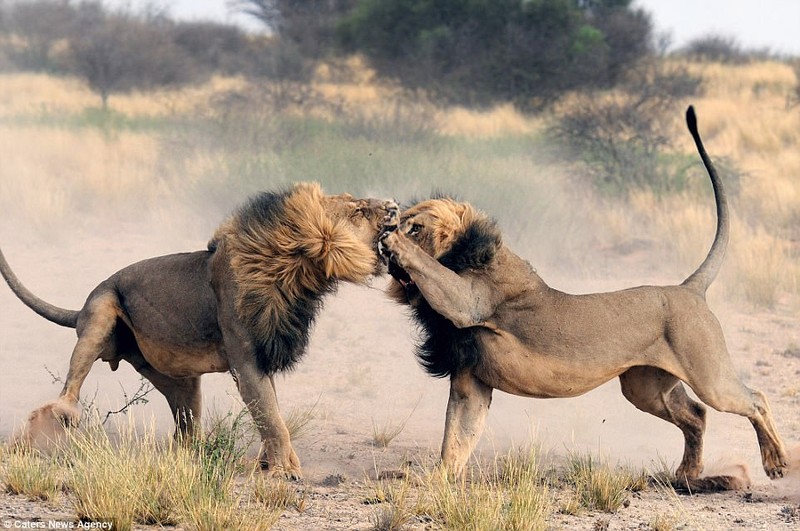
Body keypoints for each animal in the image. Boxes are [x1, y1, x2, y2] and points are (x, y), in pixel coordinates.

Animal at [2, 182, 396, 478]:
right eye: (359, 211)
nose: (393, 206)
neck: (292, 271)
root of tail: (81, 307)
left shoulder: (262, 358)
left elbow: (272, 413)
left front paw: (278, 465)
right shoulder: (245, 362)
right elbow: (271, 417)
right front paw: (284, 472)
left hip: (179, 381)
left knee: (186, 428)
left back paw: (194, 457)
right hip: (100, 312)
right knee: (71, 384)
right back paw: (58, 419)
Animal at [382, 106, 788, 492]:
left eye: (416, 228)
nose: (394, 231)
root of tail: (687, 289)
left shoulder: (470, 302)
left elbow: (433, 272)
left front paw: (390, 237)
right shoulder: (471, 381)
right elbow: (456, 439)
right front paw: (435, 482)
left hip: (710, 376)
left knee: (755, 399)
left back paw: (776, 463)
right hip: (645, 388)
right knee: (697, 414)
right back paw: (687, 474)